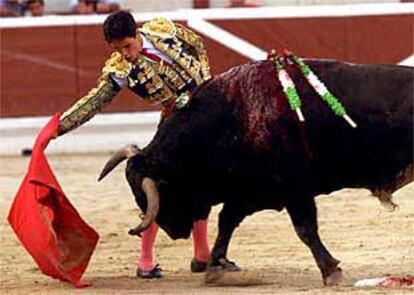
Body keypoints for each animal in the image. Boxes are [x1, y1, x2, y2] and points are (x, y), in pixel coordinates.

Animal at [98, 58, 412, 286]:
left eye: (159, 190)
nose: (174, 231)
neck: (233, 116)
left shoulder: (294, 190)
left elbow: (305, 229)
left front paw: (331, 271)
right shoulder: (248, 191)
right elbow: (226, 222)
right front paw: (215, 267)